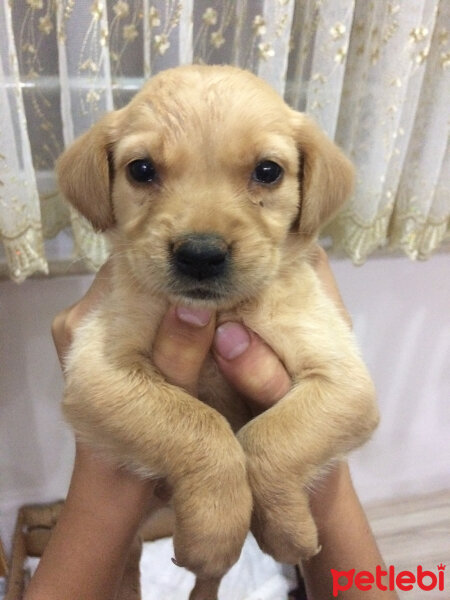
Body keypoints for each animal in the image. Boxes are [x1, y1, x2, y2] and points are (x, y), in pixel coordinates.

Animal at [56, 63, 380, 596]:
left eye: (268, 171)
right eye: (141, 170)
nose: (200, 255)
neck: (222, 313)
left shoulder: (344, 380)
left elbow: (270, 438)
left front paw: (288, 531)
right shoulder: (97, 371)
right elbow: (200, 428)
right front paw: (215, 529)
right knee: (141, 566)